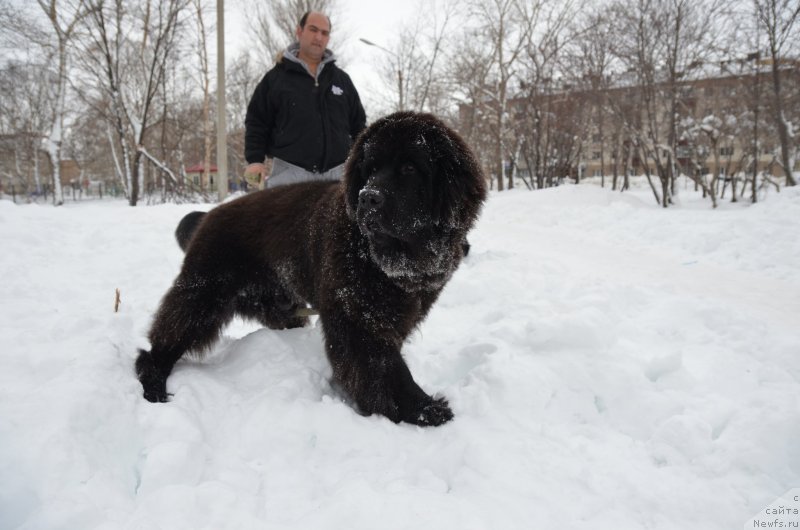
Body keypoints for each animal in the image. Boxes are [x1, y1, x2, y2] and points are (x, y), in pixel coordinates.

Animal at [136, 112, 488, 424]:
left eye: (409, 168)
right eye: (371, 169)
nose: (368, 198)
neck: (388, 260)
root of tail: (210, 214)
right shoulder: (356, 317)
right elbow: (383, 366)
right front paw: (421, 409)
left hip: (276, 303)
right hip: (202, 296)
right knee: (163, 339)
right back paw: (154, 384)